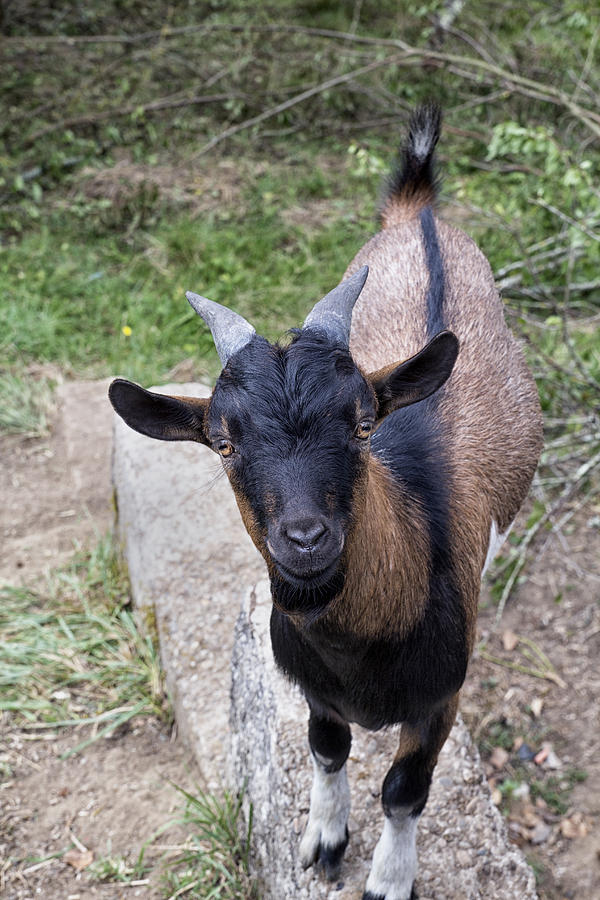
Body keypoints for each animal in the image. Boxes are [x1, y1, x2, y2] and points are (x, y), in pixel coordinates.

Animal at [109, 107, 544, 900]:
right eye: (223, 442)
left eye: (362, 423)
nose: (305, 537)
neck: (360, 647)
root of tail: (416, 212)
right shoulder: (310, 684)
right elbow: (326, 746)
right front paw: (323, 840)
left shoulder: (440, 698)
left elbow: (404, 787)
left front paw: (389, 879)